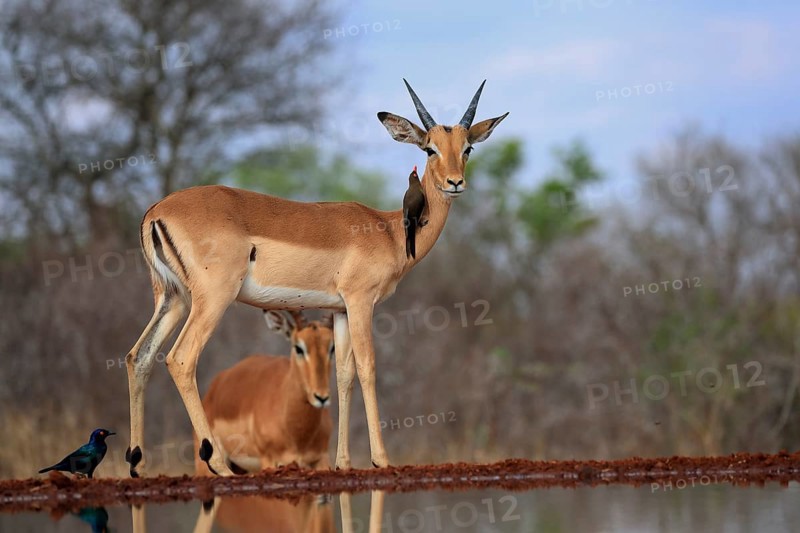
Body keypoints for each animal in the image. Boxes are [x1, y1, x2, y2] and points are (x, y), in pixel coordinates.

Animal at [194, 310, 334, 474]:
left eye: (332, 348)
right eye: (298, 347)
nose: (321, 397)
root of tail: (214, 387)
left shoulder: (322, 459)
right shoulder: (269, 460)